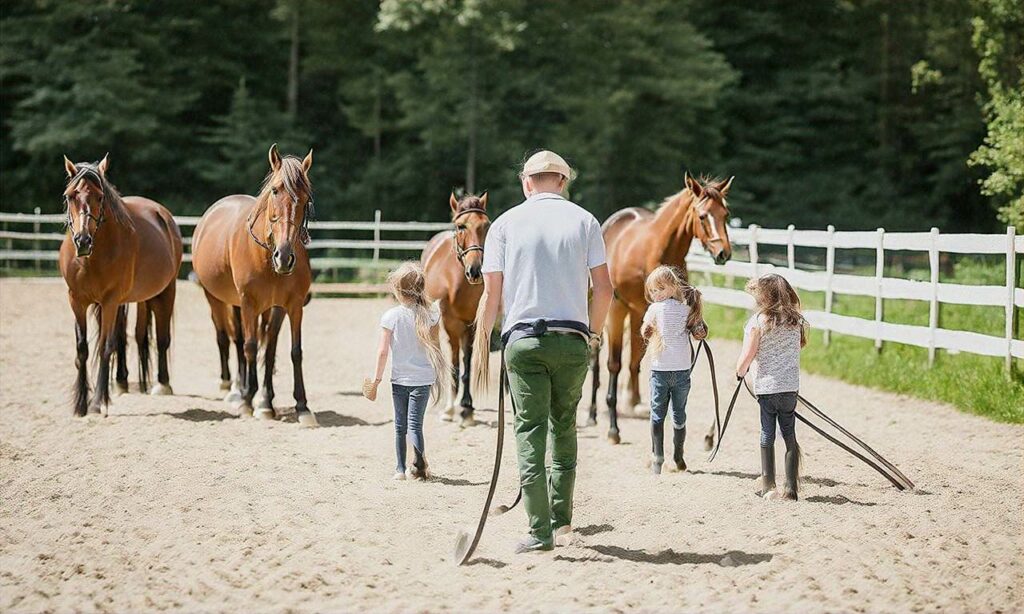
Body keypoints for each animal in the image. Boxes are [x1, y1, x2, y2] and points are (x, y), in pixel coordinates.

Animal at [59, 153, 184, 417]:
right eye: (70, 196)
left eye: (100, 196)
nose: (83, 241)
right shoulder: (77, 301)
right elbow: (83, 349)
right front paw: (81, 404)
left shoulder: (110, 301)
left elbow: (106, 347)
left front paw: (97, 403)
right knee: (129, 337)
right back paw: (121, 381)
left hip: (165, 292)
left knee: (162, 337)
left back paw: (162, 384)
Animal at [192, 144, 315, 423]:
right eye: (275, 190)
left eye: (306, 198)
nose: (284, 257)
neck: (266, 258)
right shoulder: (248, 302)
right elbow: (249, 346)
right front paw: (249, 401)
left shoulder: (290, 306)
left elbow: (287, 351)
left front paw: (294, 404)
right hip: (217, 299)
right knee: (231, 339)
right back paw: (237, 390)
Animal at [421, 192, 489, 427]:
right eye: (461, 226)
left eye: (486, 225)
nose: (475, 270)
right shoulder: (451, 324)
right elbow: (454, 366)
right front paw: (450, 409)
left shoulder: (472, 325)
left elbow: (467, 366)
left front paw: (467, 408)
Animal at [593, 174, 737, 444]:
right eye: (703, 216)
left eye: (725, 214)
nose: (723, 253)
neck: (659, 248)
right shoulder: (616, 309)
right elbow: (613, 364)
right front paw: (613, 430)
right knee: (598, 358)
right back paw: (592, 414)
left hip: (637, 312)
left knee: (634, 360)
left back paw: (635, 402)